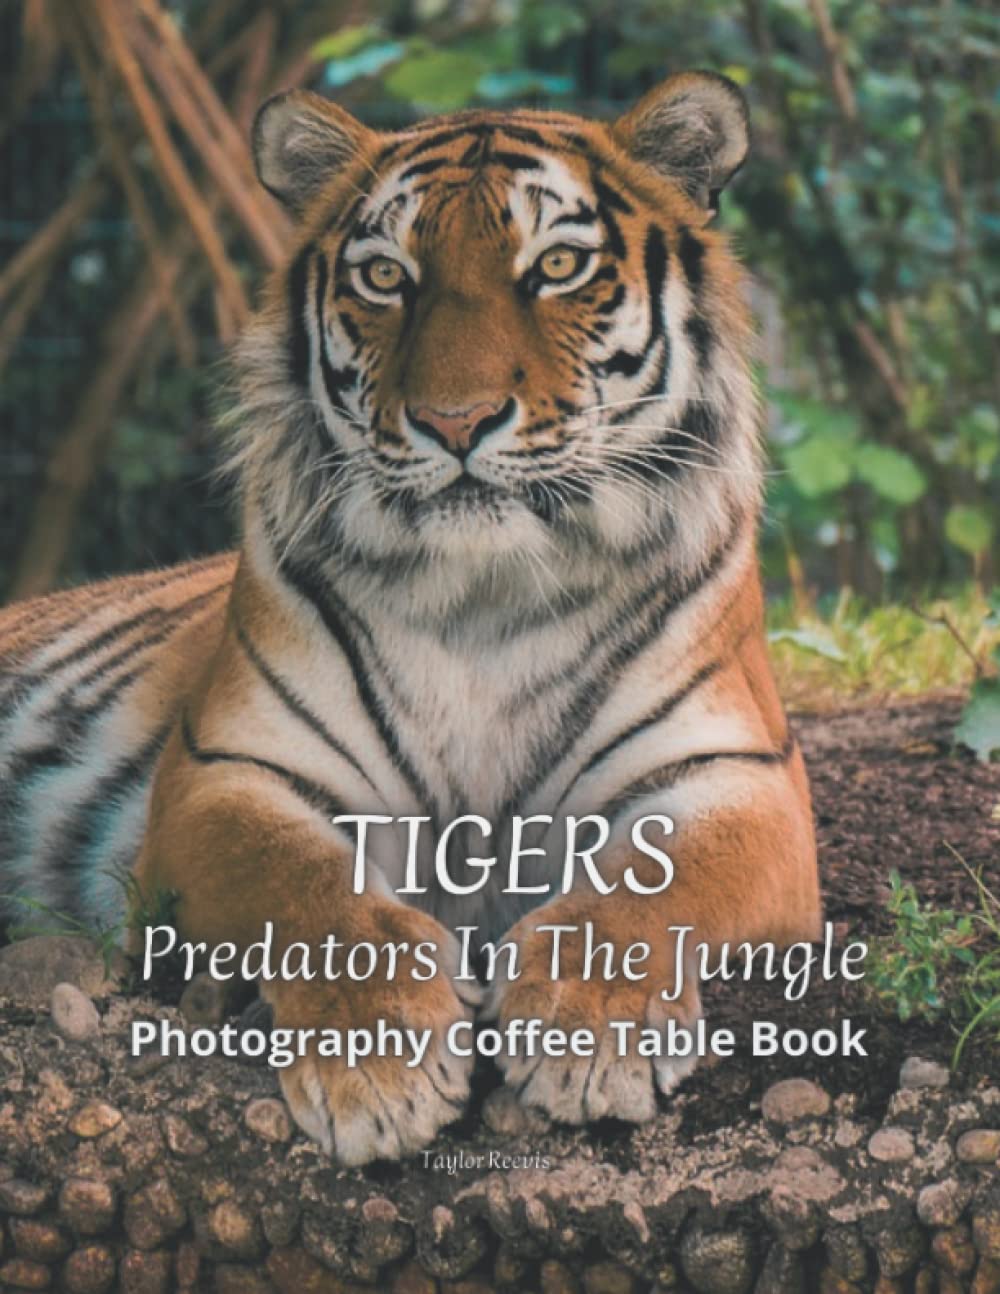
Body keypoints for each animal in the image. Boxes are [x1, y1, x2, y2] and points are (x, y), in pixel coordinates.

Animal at [0, 71, 820, 1164]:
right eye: (387, 277)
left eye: (557, 266)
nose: (454, 421)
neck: (485, 598)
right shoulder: (225, 774)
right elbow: (306, 888)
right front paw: (378, 1072)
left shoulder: (737, 777)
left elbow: (650, 892)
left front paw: (586, 1034)